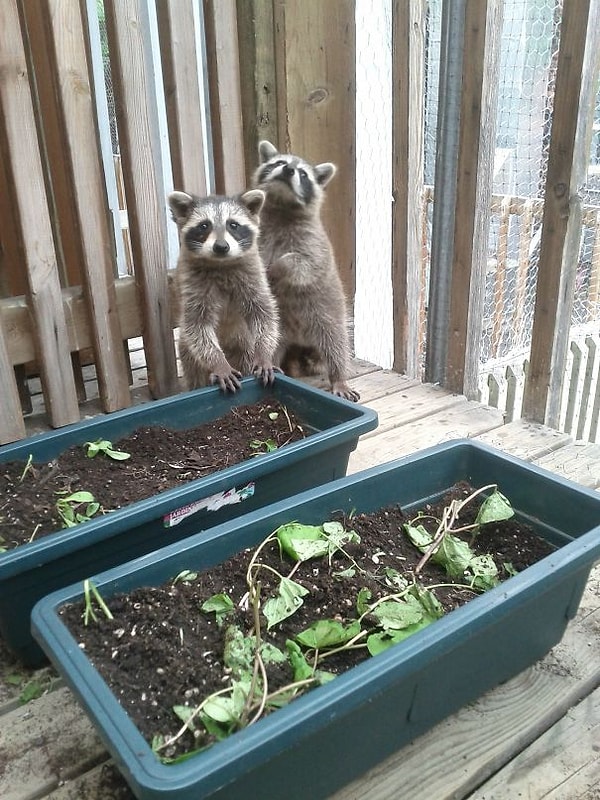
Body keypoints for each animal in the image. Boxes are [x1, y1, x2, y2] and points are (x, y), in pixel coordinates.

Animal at [168, 188, 280, 394]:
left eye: (233, 225)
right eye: (204, 226)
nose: (221, 246)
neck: (221, 264)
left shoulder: (253, 278)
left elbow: (264, 316)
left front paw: (264, 353)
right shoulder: (193, 286)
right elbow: (198, 328)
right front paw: (218, 362)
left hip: (245, 346)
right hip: (187, 352)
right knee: (193, 367)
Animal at [251, 141, 358, 404]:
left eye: (302, 174)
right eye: (279, 163)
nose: (288, 169)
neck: (282, 207)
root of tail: (300, 340)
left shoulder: (314, 245)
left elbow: (301, 264)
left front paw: (278, 267)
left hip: (327, 315)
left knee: (336, 345)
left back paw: (338, 376)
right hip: (279, 326)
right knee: (270, 339)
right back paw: (269, 360)